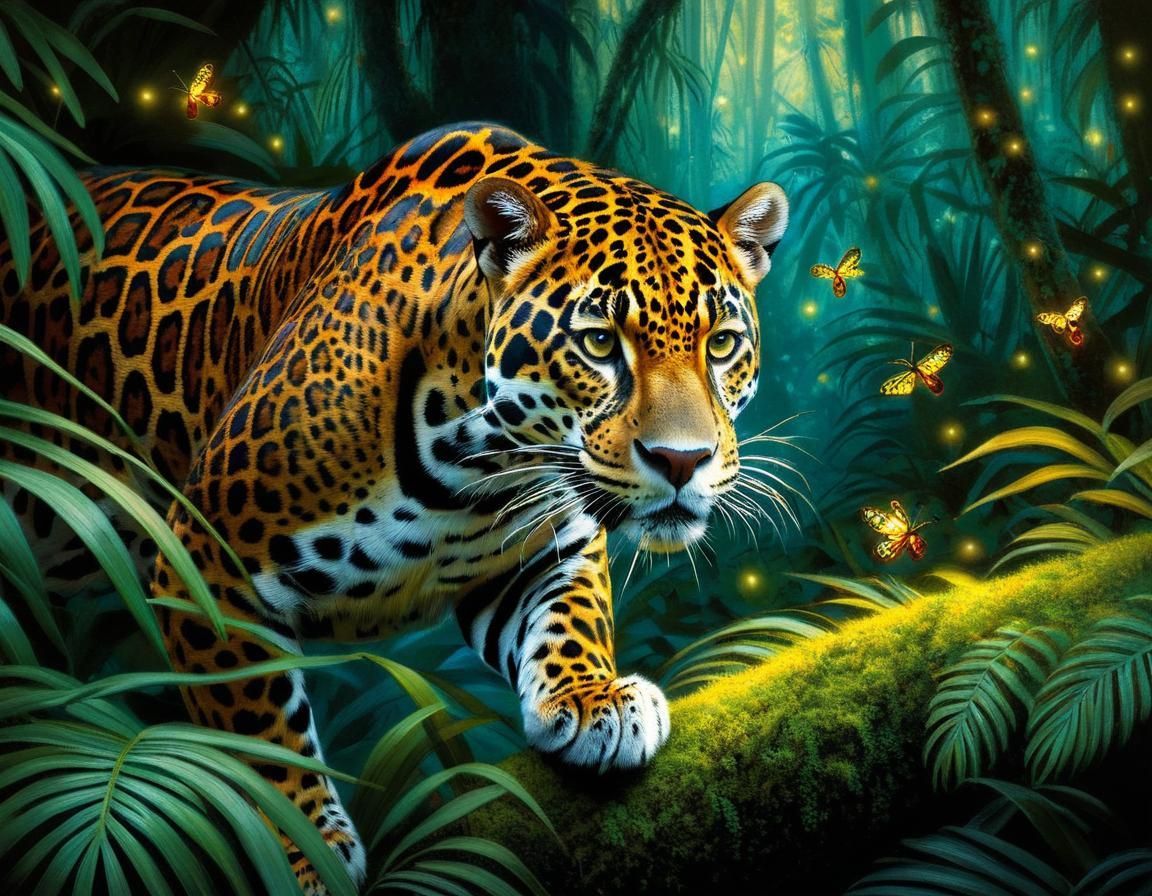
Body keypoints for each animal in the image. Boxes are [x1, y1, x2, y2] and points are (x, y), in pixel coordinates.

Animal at [0, 122, 789, 893]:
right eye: (598, 343)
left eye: (721, 345)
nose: (683, 461)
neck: (483, 462)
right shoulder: (204, 557)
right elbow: (257, 726)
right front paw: (299, 853)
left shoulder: (540, 547)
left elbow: (572, 616)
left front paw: (594, 699)